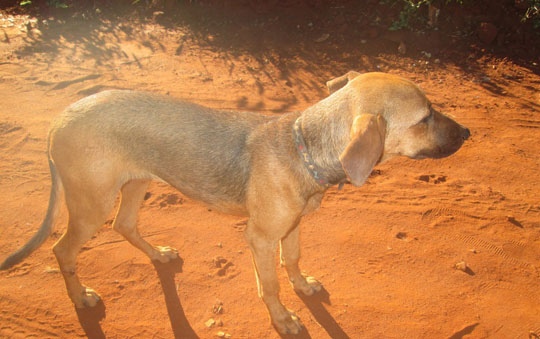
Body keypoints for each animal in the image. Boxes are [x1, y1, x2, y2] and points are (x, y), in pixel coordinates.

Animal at [0, 71, 468, 334]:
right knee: (63, 249)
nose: (467, 132)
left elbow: (293, 261)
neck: (303, 148)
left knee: (125, 225)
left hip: (136, 182)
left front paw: (303, 286)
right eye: (425, 117)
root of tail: (59, 118)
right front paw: (283, 319)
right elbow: (271, 283)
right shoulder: (260, 238)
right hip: (91, 203)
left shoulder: (292, 227)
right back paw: (80, 297)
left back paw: (159, 255)